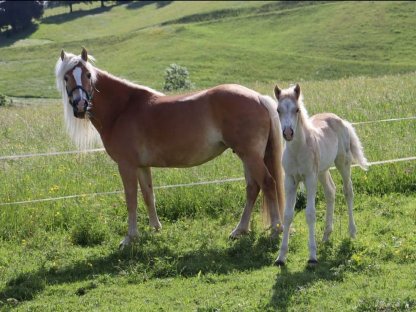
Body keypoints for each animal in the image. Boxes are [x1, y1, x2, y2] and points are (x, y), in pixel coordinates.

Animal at [56, 48, 286, 249]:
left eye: (87, 74)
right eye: (66, 78)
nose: (80, 105)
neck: (123, 109)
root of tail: (258, 97)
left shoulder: (126, 165)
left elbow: (131, 199)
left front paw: (130, 238)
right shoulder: (141, 166)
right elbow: (148, 195)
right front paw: (155, 228)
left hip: (250, 156)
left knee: (268, 183)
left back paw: (275, 229)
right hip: (246, 155)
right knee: (252, 188)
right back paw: (239, 230)